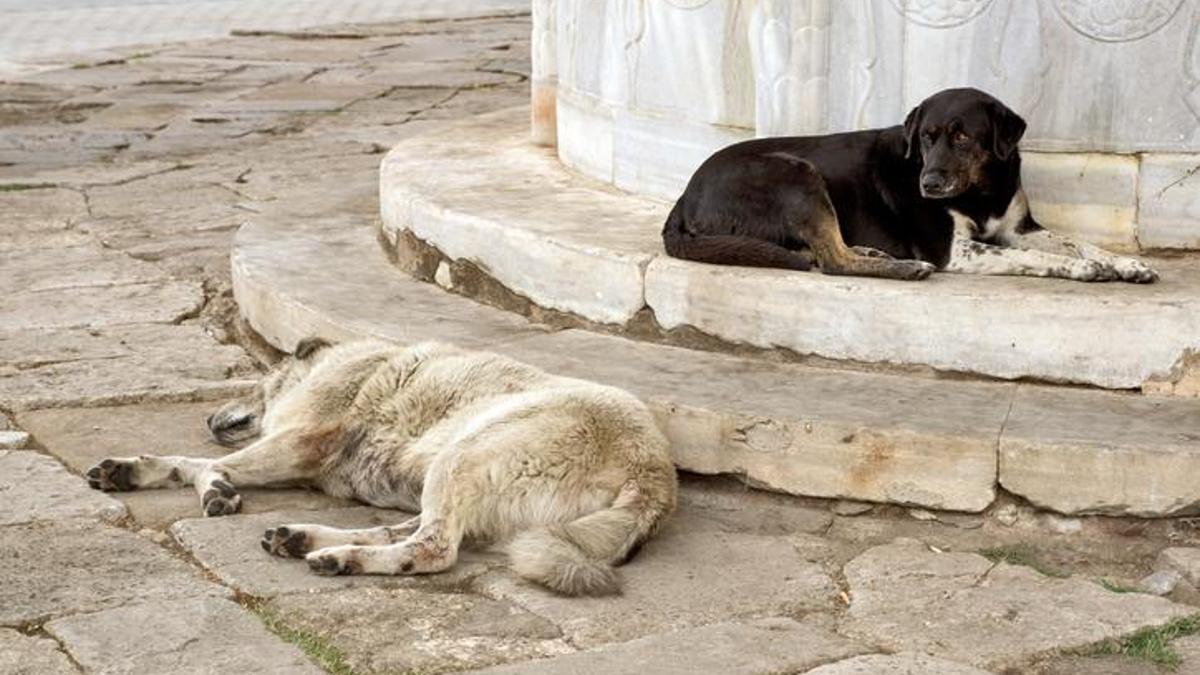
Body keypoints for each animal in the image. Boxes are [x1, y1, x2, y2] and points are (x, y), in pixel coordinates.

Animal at [88, 336, 681, 593]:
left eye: (257, 381)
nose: (210, 418)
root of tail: (655, 476)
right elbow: (195, 463)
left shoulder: (300, 442)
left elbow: (199, 464)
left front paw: (196, 481)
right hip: (460, 483)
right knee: (407, 531)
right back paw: (308, 540)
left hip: (465, 454)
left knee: (433, 549)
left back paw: (339, 559)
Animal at [662, 85, 1156, 281]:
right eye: (925, 138)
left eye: (962, 136)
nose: (929, 183)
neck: (982, 189)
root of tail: (683, 198)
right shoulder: (954, 251)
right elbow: (1039, 258)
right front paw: (1084, 271)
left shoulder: (1019, 229)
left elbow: (1079, 243)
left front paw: (1126, 264)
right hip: (796, 174)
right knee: (833, 260)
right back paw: (905, 268)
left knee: (825, 252)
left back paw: (875, 254)